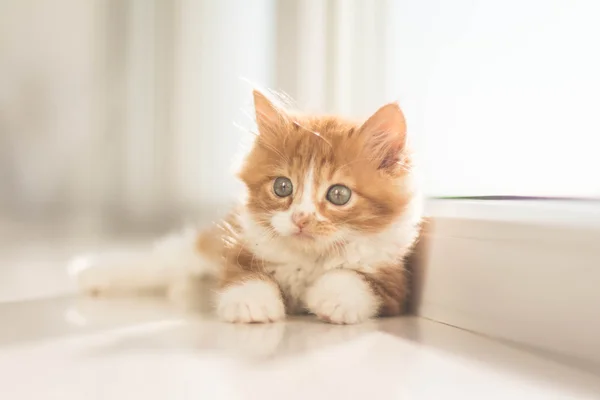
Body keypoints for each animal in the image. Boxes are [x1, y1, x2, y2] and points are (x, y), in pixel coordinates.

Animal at [72, 90, 422, 324]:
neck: (309, 259)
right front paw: (252, 302)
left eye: (338, 194)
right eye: (283, 187)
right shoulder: (237, 246)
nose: (301, 218)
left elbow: (356, 278)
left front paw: (334, 298)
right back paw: (91, 273)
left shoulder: (394, 282)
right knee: (163, 260)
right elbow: (244, 274)